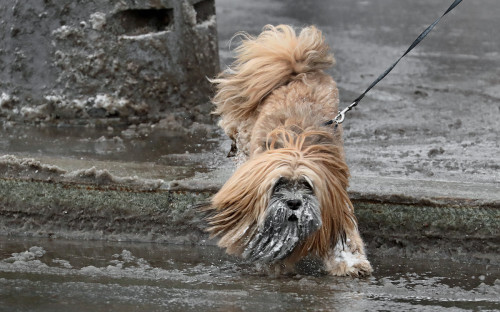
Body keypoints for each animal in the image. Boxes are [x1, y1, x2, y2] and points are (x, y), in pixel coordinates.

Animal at [203, 25, 372, 276]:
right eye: (279, 184)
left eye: (306, 185)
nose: (294, 203)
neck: (296, 143)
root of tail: (297, 71)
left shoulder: (334, 198)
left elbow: (344, 235)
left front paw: (350, 262)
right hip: (246, 124)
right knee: (235, 129)